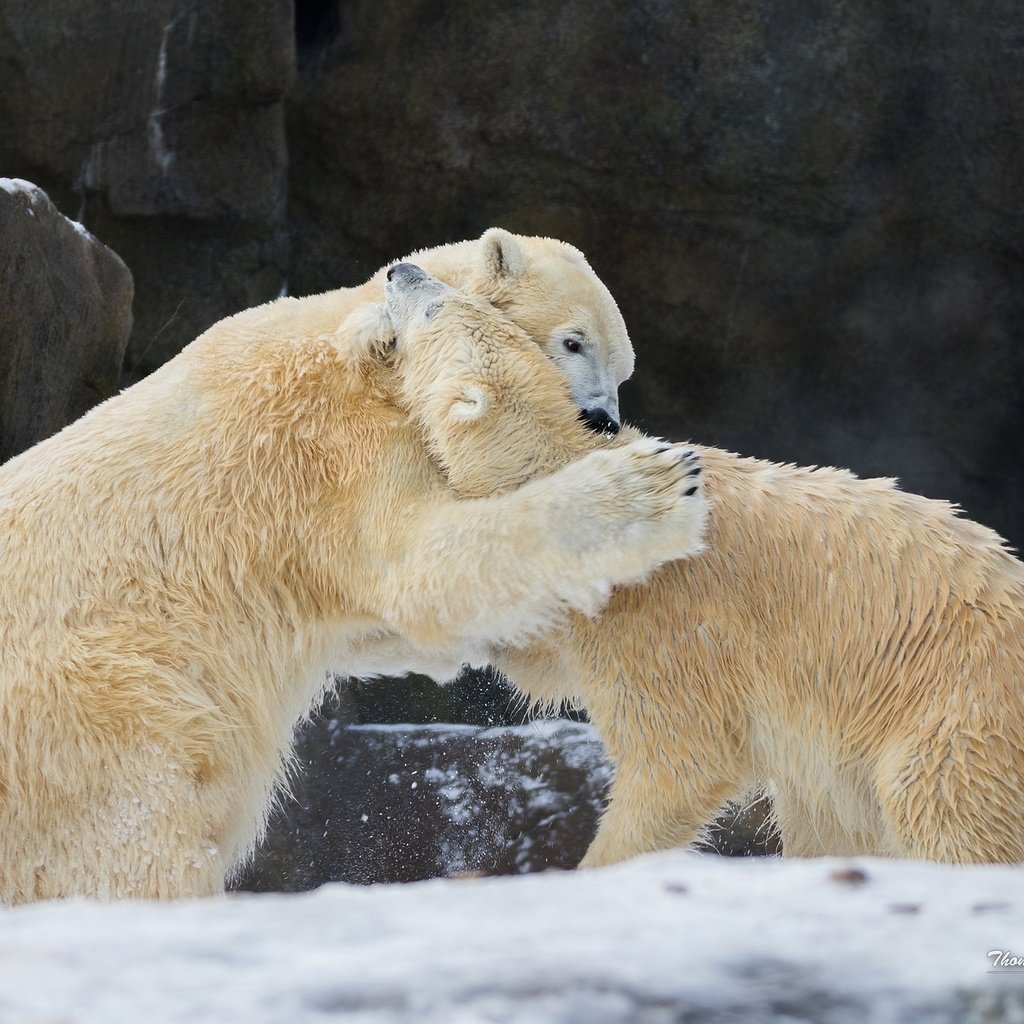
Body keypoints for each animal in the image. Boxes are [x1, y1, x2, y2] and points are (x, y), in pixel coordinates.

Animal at [0, 235, 704, 901]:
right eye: (573, 341)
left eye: (623, 367)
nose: (602, 420)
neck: (370, 343)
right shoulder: (337, 446)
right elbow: (420, 567)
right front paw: (655, 487)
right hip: (104, 702)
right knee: (135, 838)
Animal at [387, 262, 1024, 864]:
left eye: (438, 306)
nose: (401, 272)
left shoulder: (663, 621)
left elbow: (681, 760)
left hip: (955, 707)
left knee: (944, 807)